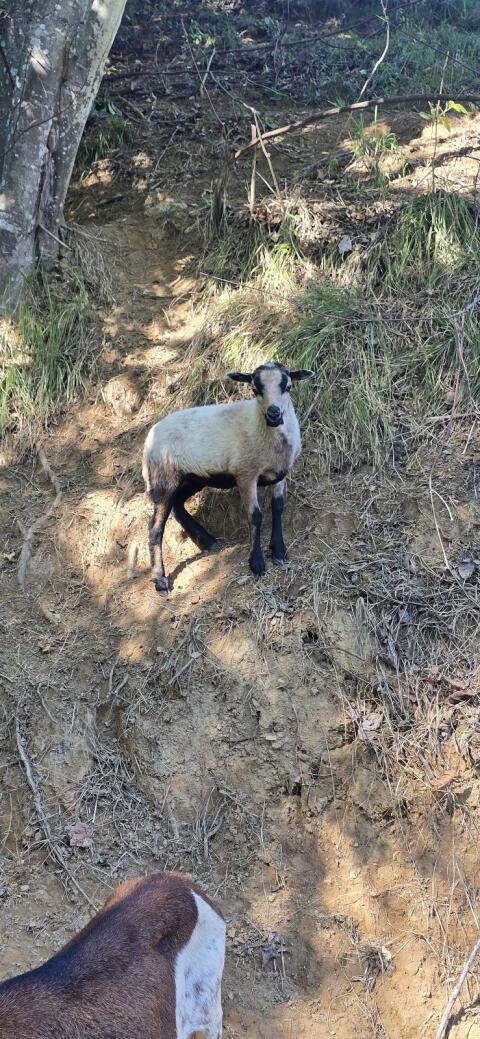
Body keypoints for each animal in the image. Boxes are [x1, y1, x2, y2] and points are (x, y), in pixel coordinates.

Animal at [142, 361, 314, 592]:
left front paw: (279, 551)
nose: (274, 413)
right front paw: (257, 563)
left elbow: (278, 507)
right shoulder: (245, 474)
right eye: (255, 389)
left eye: (288, 387)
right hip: (164, 478)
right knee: (155, 528)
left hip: (193, 477)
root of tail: (149, 438)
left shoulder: (281, 473)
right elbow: (255, 515)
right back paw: (160, 581)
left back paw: (207, 541)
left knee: (177, 505)